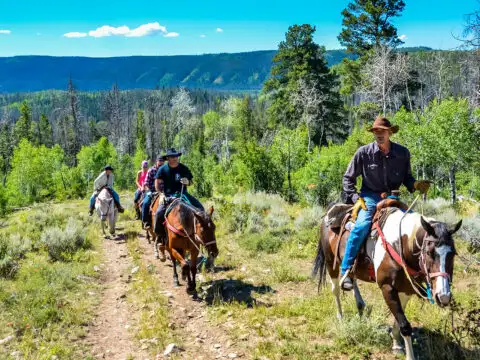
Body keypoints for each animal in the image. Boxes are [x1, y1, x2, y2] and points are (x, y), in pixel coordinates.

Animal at [314, 202, 464, 360]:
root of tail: (332, 208)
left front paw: (396, 343)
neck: (400, 244)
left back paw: (360, 305)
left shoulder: (406, 290)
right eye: (429, 252)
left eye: (453, 254)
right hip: (330, 263)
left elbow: (399, 320)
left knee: (352, 280)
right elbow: (405, 325)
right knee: (335, 290)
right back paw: (341, 318)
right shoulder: (387, 288)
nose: (443, 297)